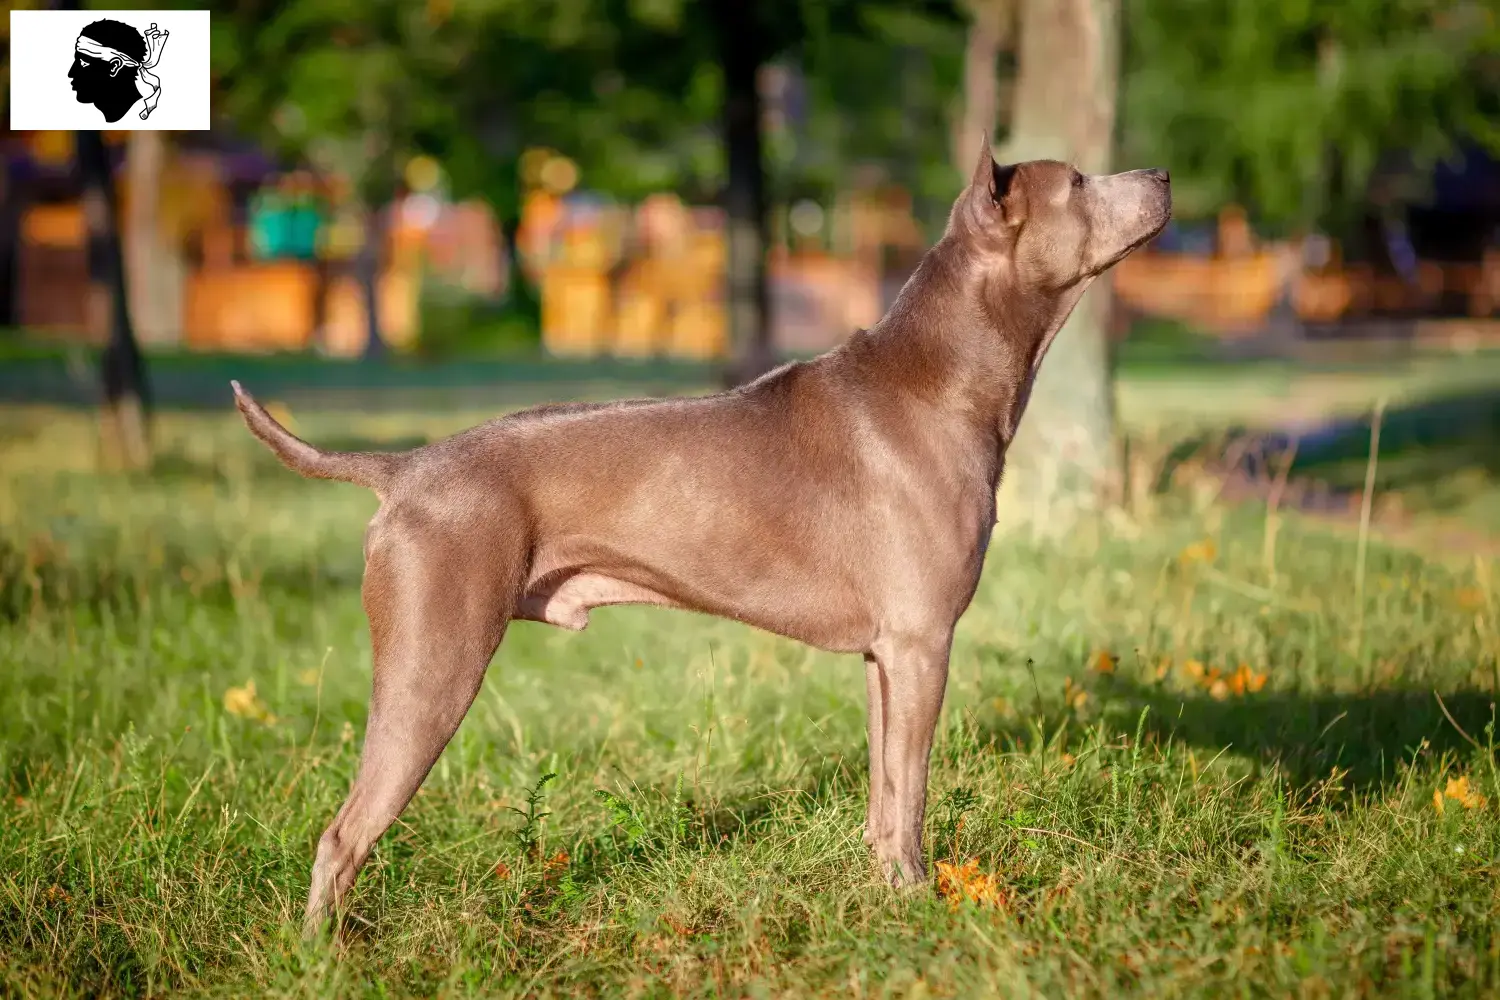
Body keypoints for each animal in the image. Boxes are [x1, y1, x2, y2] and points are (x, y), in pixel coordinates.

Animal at [234, 142, 1170, 941]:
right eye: (1078, 181)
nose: (1160, 174)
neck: (939, 377)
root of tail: (404, 468)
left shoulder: (886, 657)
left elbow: (883, 794)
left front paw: (882, 890)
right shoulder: (922, 644)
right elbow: (912, 793)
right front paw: (916, 901)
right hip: (435, 661)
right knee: (344, 832)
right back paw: (322, 955)